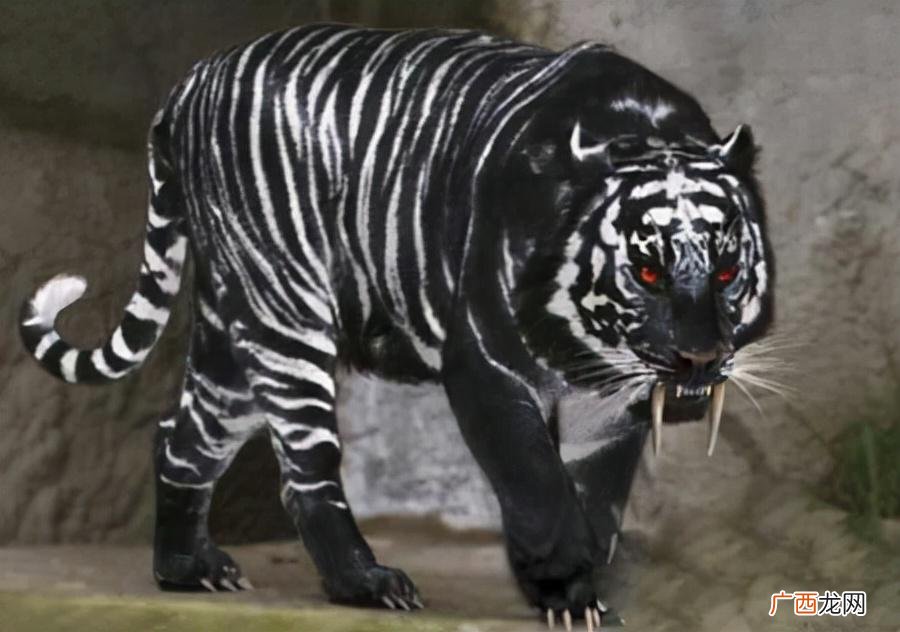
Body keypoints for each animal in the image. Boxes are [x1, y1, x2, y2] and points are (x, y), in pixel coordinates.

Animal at [20, 24, 773, 627]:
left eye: (726, 271)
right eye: (646, 272)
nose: (701, 358)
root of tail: (191, 81)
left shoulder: (612, 399)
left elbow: (597, 497)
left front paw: (583, 591)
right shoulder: (487, 366)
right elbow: (536, 483)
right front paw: (562, 585)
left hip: (232, 338)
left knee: (183, 437)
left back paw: (187, 571)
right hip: (285, 313)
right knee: (306, 468)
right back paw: (365, 584)